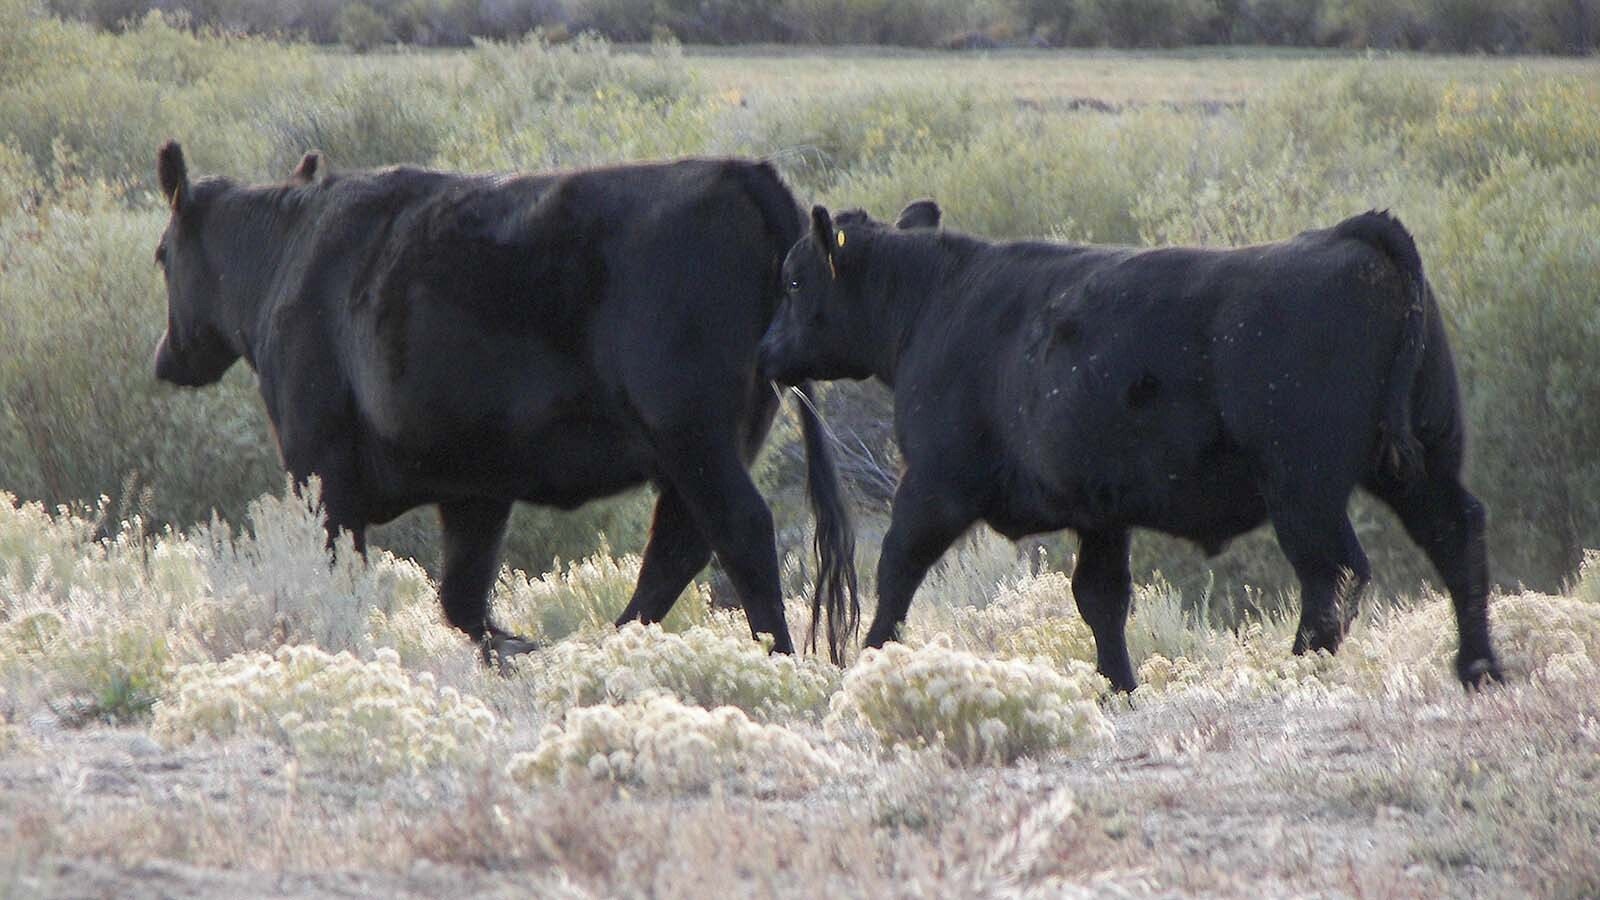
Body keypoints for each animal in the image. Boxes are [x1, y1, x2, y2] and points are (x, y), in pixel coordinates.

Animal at [151, 141, 858, 663]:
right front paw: (513, 649)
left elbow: (338, 570)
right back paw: (603, 650)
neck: (287, 255)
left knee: (737, 530)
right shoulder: (475, 487)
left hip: (692, 434)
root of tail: (744, 172)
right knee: (679, 547)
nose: (165, 358)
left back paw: (775, 659)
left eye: (161, 255)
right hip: (705, 445)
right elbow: (462, 598)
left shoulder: (319, 464)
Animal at [759, 200, 1502, 690]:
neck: (935, 303)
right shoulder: (1100, 513)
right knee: (1455, 533)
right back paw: (1479, 667)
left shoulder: (936, 483)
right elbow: (1101, 599)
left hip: (1304, 486)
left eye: (794, 279)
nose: (766, 350)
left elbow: (896, 568)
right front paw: (1119, 684)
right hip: (1420, 463)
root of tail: (1356, 235)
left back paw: (1289, 672)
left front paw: (872, 658)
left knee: (1334, 574)